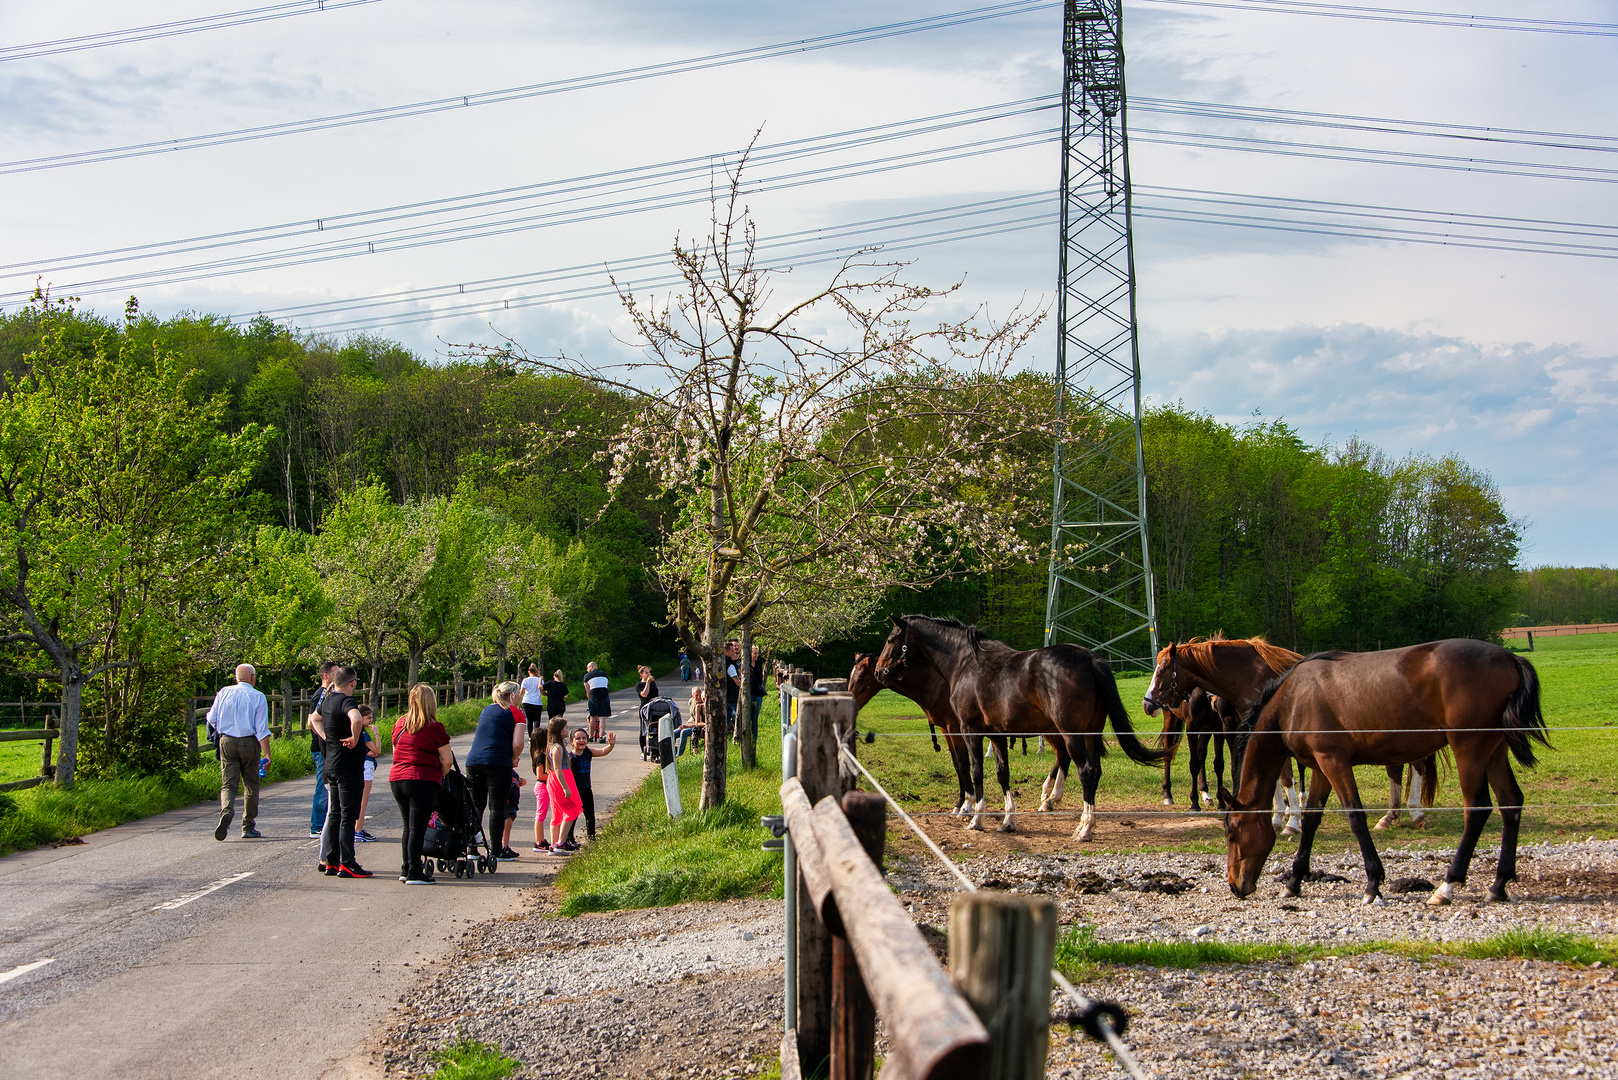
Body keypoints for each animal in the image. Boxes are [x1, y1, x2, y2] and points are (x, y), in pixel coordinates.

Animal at [873, 612, 1164, 841]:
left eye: (891, 640)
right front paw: (1008, 821)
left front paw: (976, 818)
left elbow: (975, 771)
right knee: (1092, 770)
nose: (879, 671)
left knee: (1085, 771)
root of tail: (1090, 659)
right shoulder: (997, 735)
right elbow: (1003, 774)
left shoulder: (969, 730)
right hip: (1090, 734)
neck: (965, 663)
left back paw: (1083, 827)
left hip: (1070, 734)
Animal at [1216, 637, 1546, 906]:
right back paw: (1498, 885)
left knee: (1477, 809)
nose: (1234, 885)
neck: (1292, 698)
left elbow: (1355, 817)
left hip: (1470, 749)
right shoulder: (1321, 767)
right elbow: (1311, 821)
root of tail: (1510, 658)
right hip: (1495, 752)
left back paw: (1447, 886)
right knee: (1511, 803)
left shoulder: (1334, 761)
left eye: (1232, 835)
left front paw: (1373, 884)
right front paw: (1294, 882)